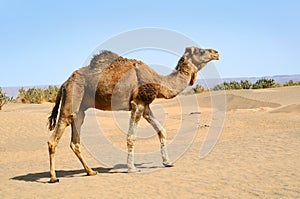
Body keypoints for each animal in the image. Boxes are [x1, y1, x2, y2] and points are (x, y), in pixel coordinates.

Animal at [47, 45, 220, 183]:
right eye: (201, 51)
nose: (216, 53)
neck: (158, 82)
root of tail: (65, 83)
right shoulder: (138, 103)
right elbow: (131, 137)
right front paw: (132, 168)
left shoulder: (146, 106)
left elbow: (161, 131)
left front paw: (168, 162)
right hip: (72, 97)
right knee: (54, 137)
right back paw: (54, 177)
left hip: (81, 109)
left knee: (75, 140)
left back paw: (91, 172)